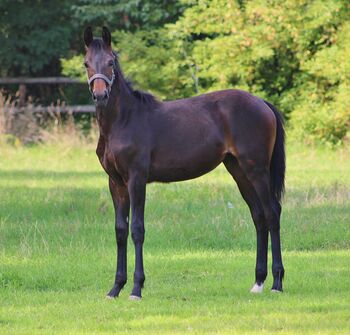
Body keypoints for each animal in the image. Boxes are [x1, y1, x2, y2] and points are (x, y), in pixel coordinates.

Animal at [83, 25, 286, 300]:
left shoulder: (137, 179)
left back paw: (277, 282)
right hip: (239, 171)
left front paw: (136, 288)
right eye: (86, 64)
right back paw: (258, 282)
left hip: (257, 169)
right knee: (259, 216)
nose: (100, 95)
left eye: (111, 62)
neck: (123, 120)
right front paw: (115, 288)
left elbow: (137, 229)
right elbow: (120, 231)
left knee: (272, 213)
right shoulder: (116, 183)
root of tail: (262, 103)